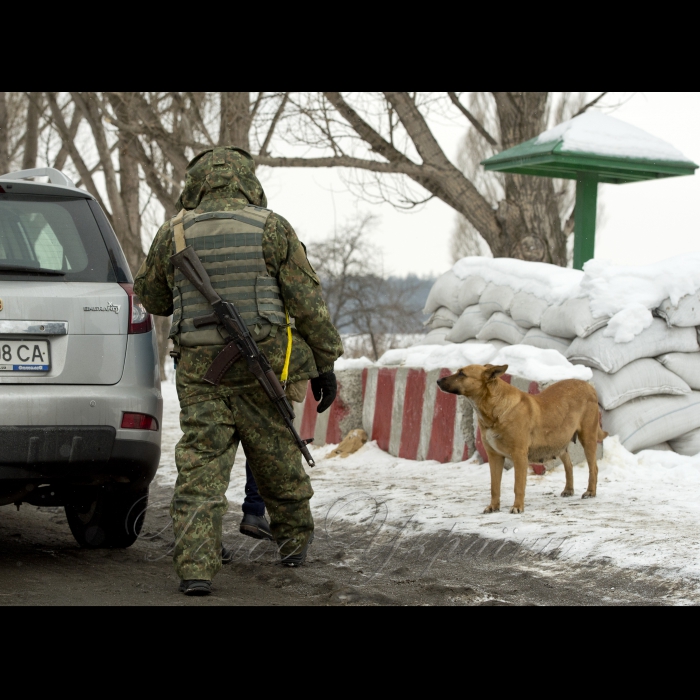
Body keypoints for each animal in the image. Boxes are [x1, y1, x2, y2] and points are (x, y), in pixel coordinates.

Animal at [438, 366, 608, 516]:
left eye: (462, 373)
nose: (438, 381)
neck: (495, 410)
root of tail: (588, 386)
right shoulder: (494, 457)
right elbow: (494, 486)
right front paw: (494, 507)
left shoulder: (519, 456)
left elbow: (518, 485)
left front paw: (517, 507)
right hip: (558, 442)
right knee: (569, 465)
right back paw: (569, 489)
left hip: (588, 438)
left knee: (593, 468)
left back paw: (590, 491)